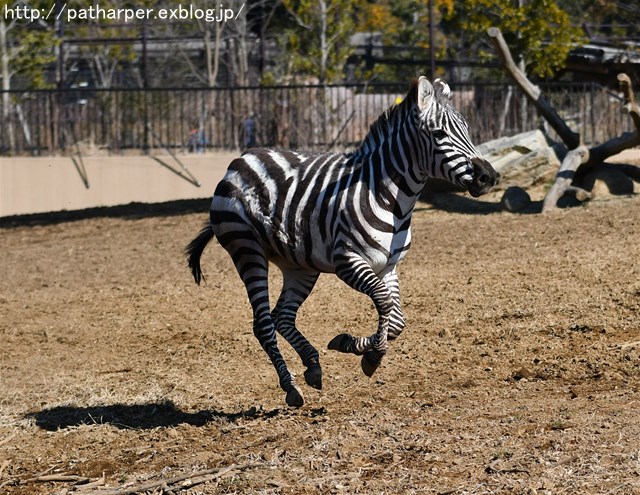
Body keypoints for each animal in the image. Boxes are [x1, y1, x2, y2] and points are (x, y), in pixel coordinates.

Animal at [185, 76, 496, 406]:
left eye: (467, 130)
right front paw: (371, 356)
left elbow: (397, 319)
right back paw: (291, 387)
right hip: (247, 249)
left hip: (299, 265)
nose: (488, 177)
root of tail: (242, 158)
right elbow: (384, 302)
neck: (392, 199)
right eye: (439, 134)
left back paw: (312, 366)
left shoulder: (388, 267)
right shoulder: (348, 261)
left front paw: (352, 345)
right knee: (263, 323)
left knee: (282, 316)